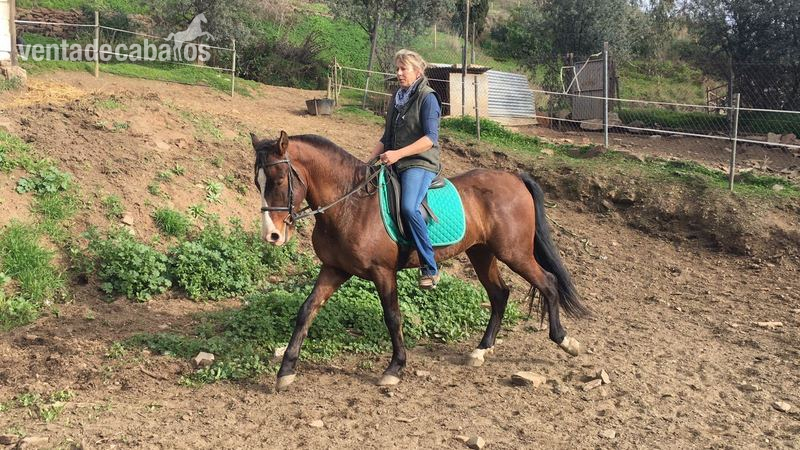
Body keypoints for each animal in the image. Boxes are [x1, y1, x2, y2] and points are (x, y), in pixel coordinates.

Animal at [251, 131, 589, 391]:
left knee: (548, 283)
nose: (272, 235)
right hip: (482, 252)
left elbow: (392, 317)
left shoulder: (382, 272)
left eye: (279, 180)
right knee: (499, 294)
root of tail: (513, 177)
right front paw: (286, 371)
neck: (350, 205)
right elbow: (306, 311)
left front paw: (395, 368)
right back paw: (481, 350)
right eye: (258, 183)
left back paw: (564, 341)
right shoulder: (334, 269)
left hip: (514, 253)